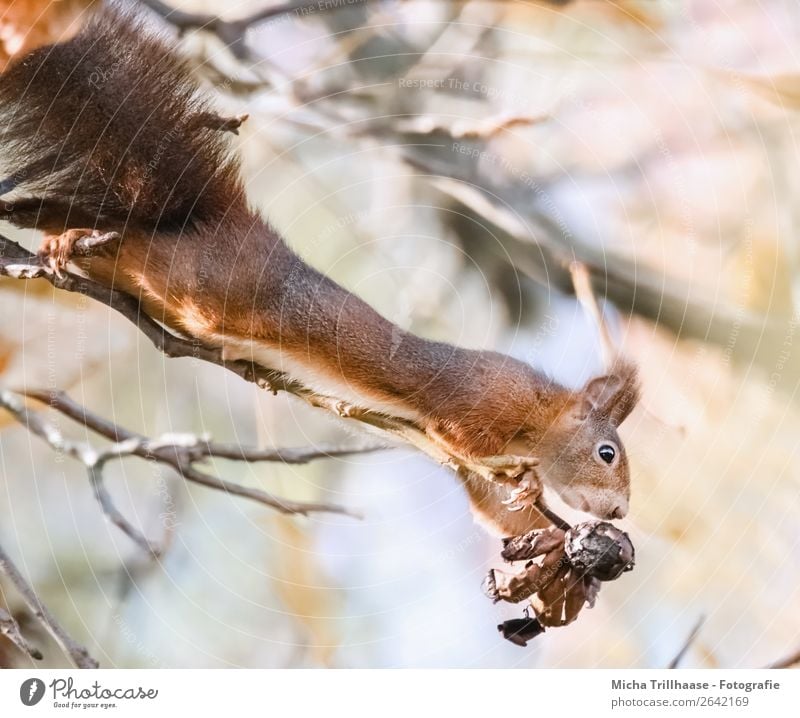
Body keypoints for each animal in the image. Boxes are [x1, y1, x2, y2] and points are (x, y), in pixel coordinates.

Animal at [0, 4, 640, 536]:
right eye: (607, 453)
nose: (619, 512)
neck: (541, 414)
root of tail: (215, 221)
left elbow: (481, 494)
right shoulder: (476, 406)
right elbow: (464, 444)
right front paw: (524, 479)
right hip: (200, 284)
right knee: (133, 245)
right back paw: (67, 239)